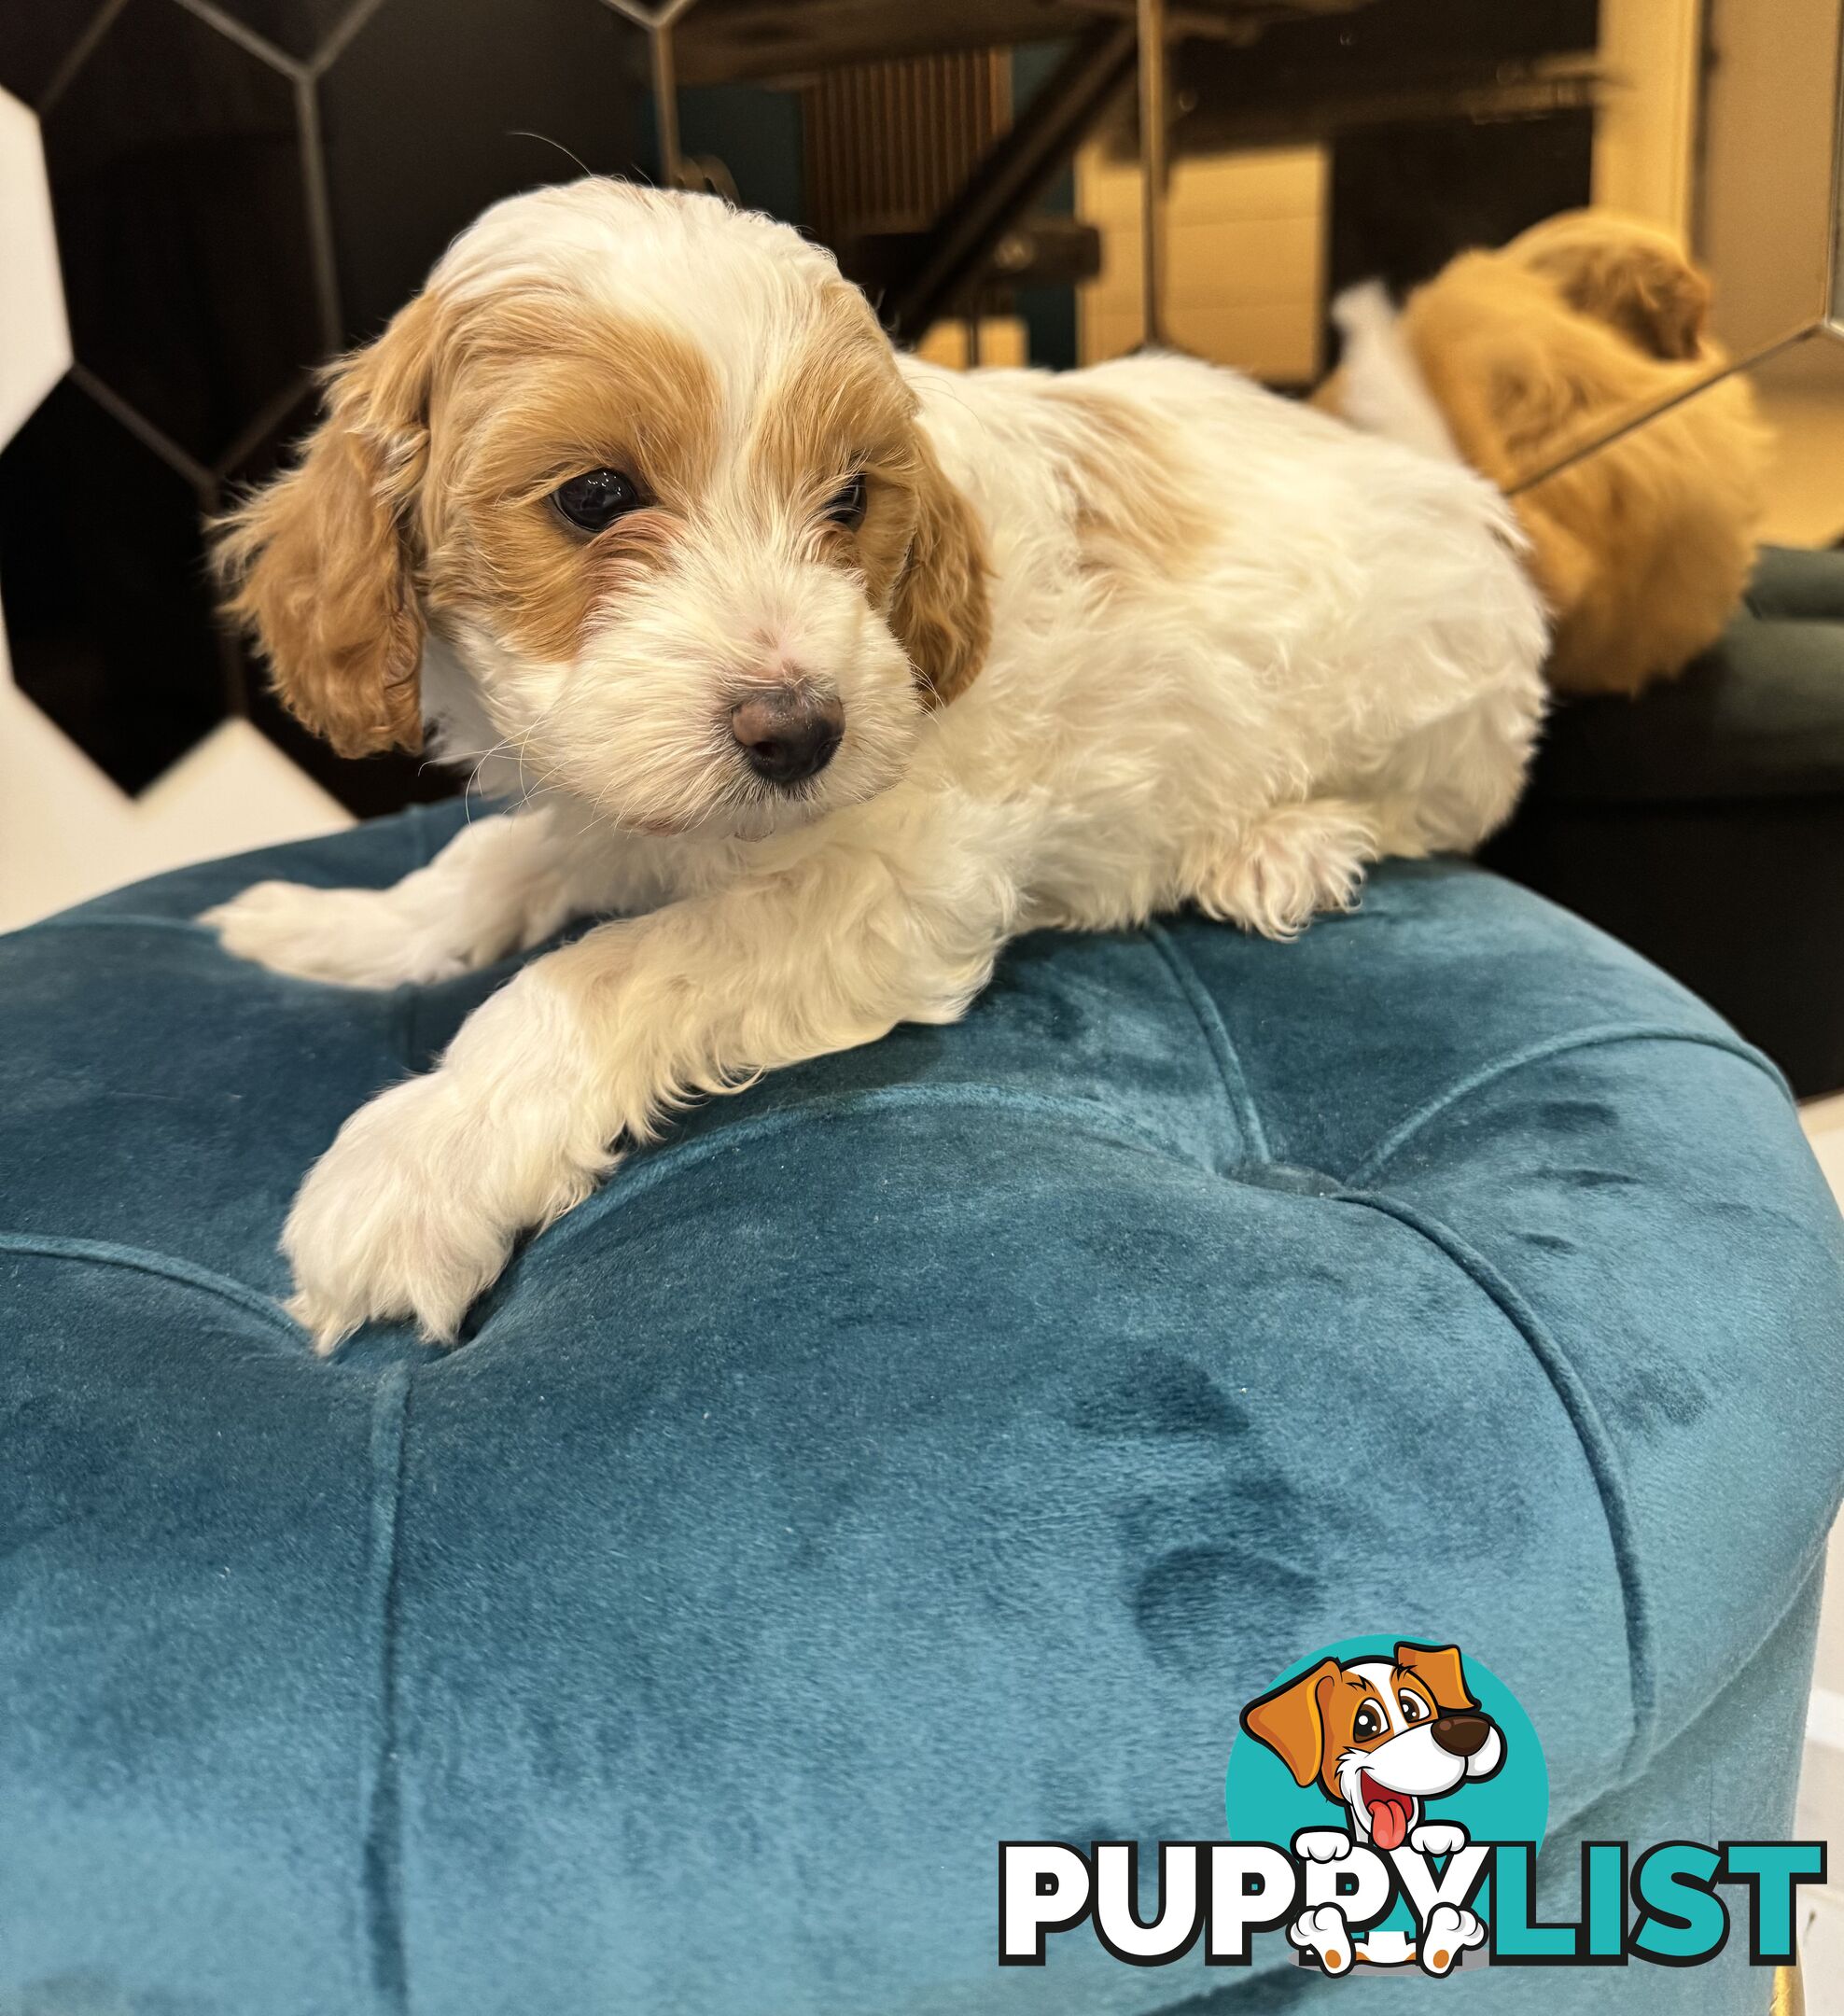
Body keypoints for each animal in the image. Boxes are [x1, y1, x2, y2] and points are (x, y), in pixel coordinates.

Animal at [209, 181, 1547, 1346]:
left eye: (849, 499)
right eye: (593, 496)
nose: (801, 732)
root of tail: (1454, 488)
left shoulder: (896, 886)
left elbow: (600, 971)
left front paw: (416, 1162)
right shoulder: (618, 803)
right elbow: (490, 867)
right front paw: (338, 927)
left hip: (1433, 708)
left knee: (1426, 813)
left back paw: (1278, 844)